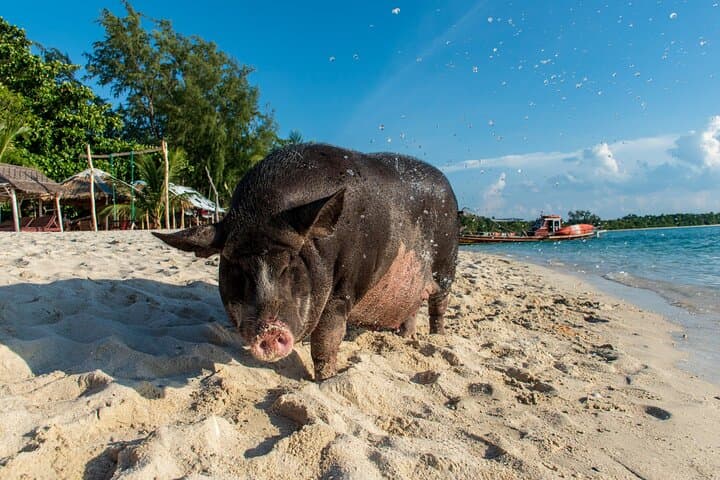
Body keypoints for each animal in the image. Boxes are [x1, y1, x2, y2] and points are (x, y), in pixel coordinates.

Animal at [153, 144, 458, 380]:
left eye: (290, 264)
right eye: (238, 268)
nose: (268, 330)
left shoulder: (344, 287)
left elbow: (326, 339)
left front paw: (326, 379)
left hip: (447, 264)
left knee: (438, 305)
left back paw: (438, 336)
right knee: (412, 309)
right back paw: (407, 339)